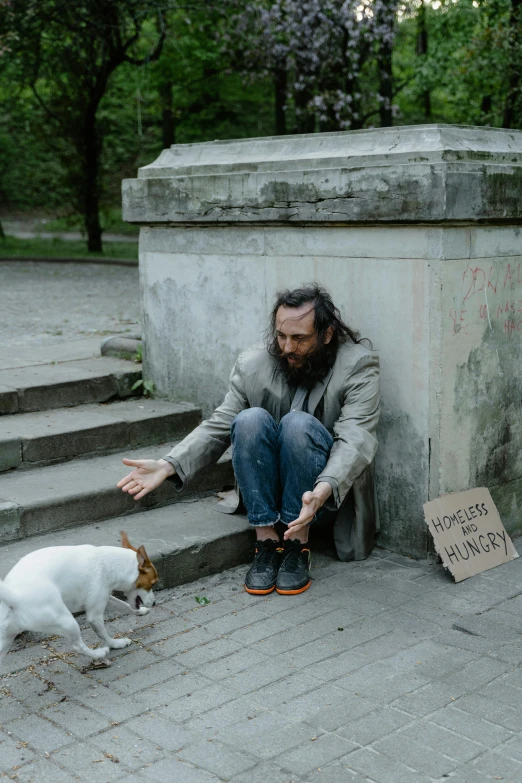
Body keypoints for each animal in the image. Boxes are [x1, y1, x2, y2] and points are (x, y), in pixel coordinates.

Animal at [0, 528, 156, 672]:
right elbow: (104, 635)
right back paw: (99, 653)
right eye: (153, 584)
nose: (154, 603)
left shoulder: (106, 598)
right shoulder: (95, 615)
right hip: (68, 622)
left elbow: (125, 606)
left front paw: (141, 612)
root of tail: (13, 595)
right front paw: (115, 644)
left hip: (5, 642)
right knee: (77, 646)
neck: (109, 563)